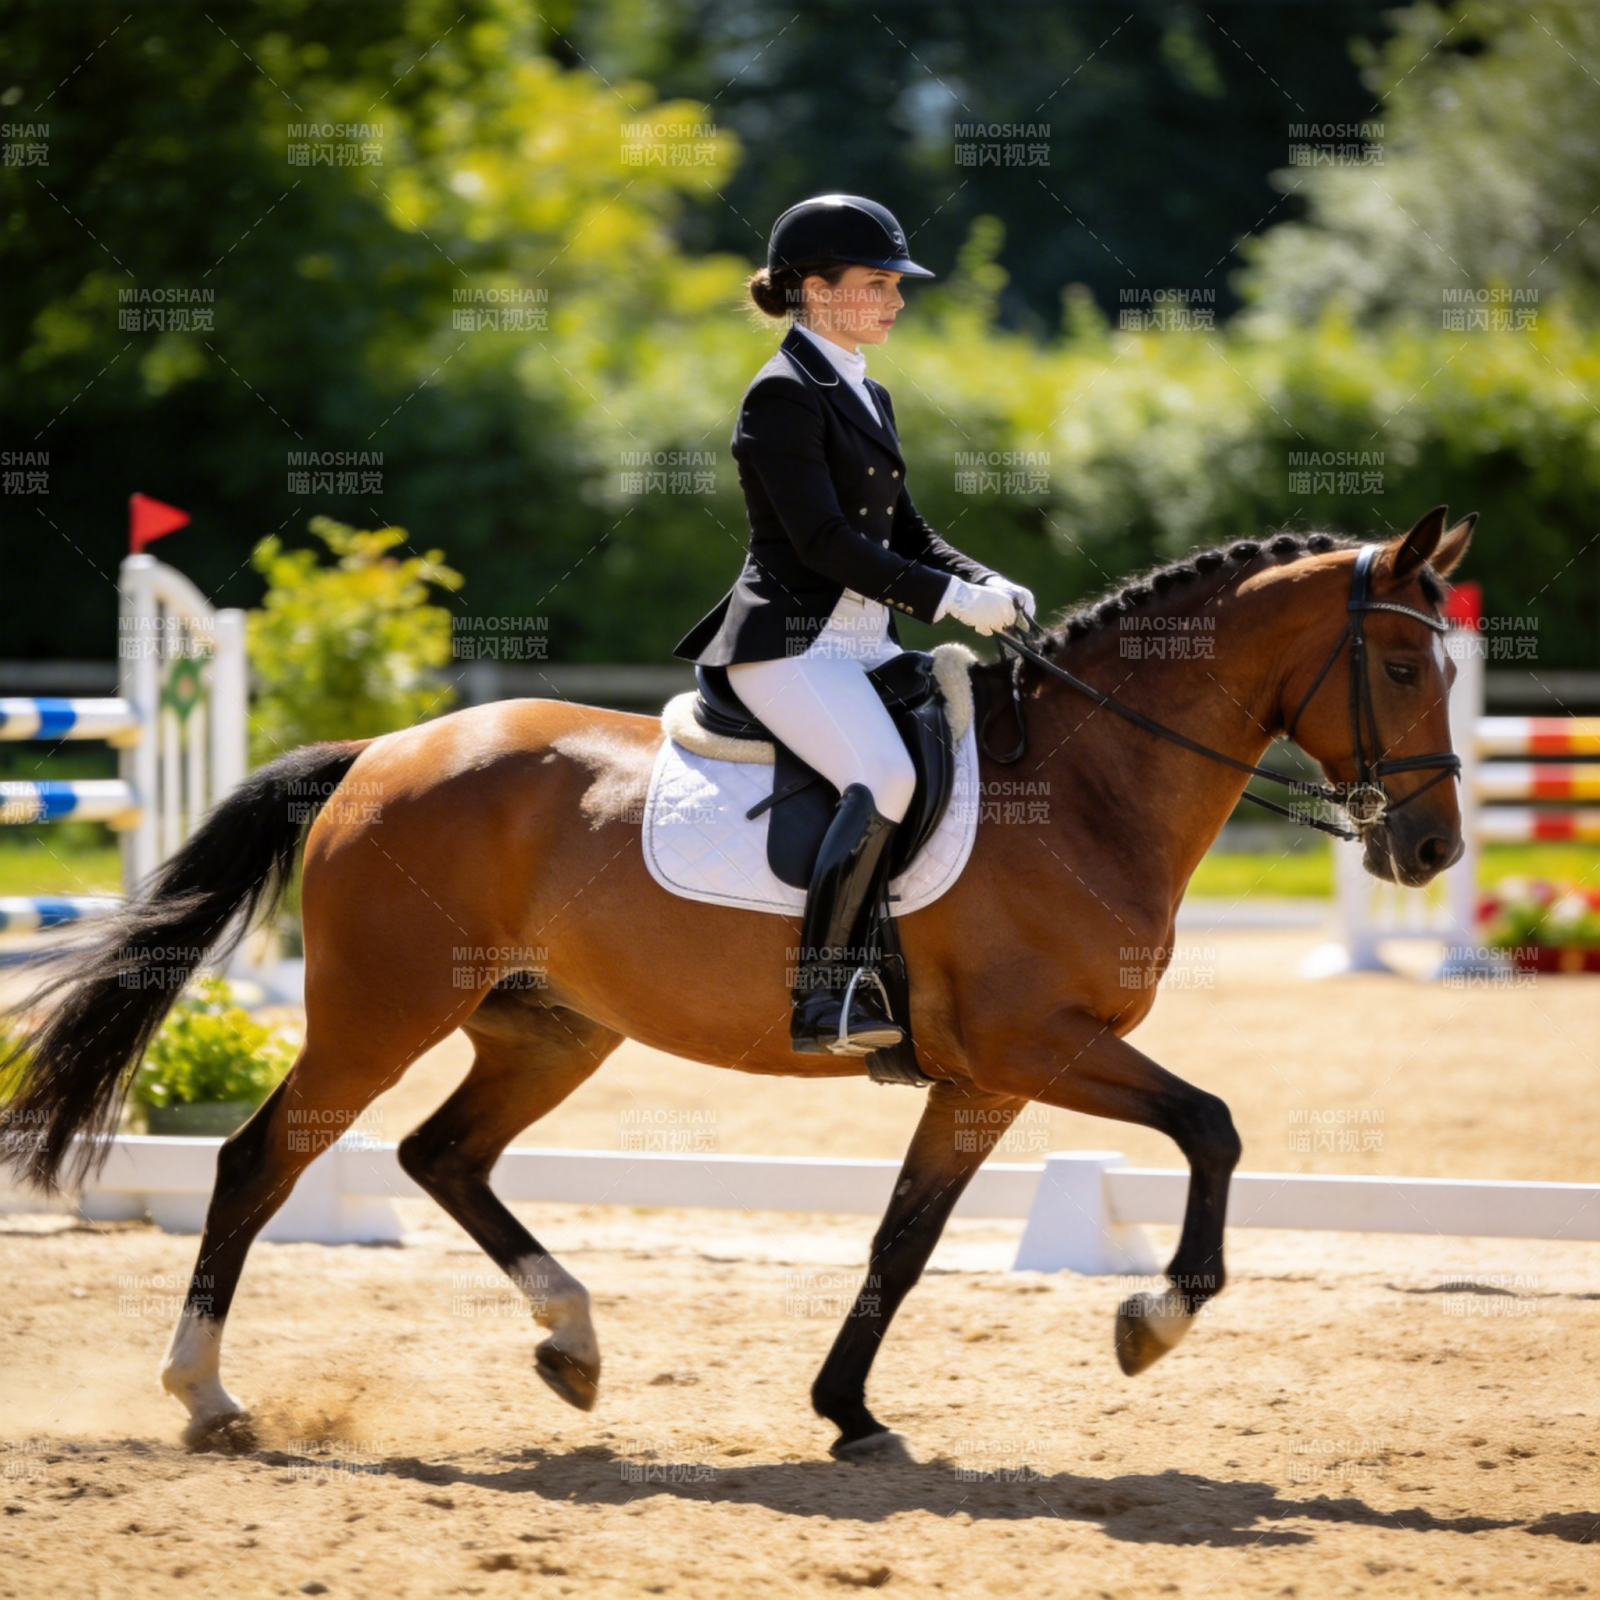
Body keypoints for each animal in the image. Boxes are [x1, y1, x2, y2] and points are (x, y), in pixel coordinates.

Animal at [0, 506, 1474, 1458]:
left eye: (1447, 665)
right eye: (1404, 663)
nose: (1432, 851)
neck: (1088, 788)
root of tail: (382, 752)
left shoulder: (982, 1081)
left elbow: (903, 1240)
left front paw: (851, 1414)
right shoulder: (1035, 1045)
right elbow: (1212, 1126)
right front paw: (1151, 1320)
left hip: (550, 1030)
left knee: (441, 1155)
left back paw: (572, 1343)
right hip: (382, 1011)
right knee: (262, 1160)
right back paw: (207, 1398)